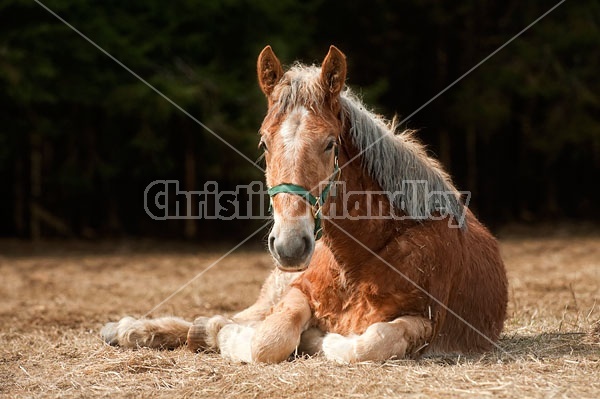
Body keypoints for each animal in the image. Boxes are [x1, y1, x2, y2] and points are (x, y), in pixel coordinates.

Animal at [102, 45, 506, 364]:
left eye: (330, 144)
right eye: (264, 143)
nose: (290, 246)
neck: (362, 260)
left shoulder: (425, 321)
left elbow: (365, 344)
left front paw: (310, 339)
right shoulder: (297, 291)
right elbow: (271, 339)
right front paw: (225, 333)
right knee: (246, 316)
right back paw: (131, 330)